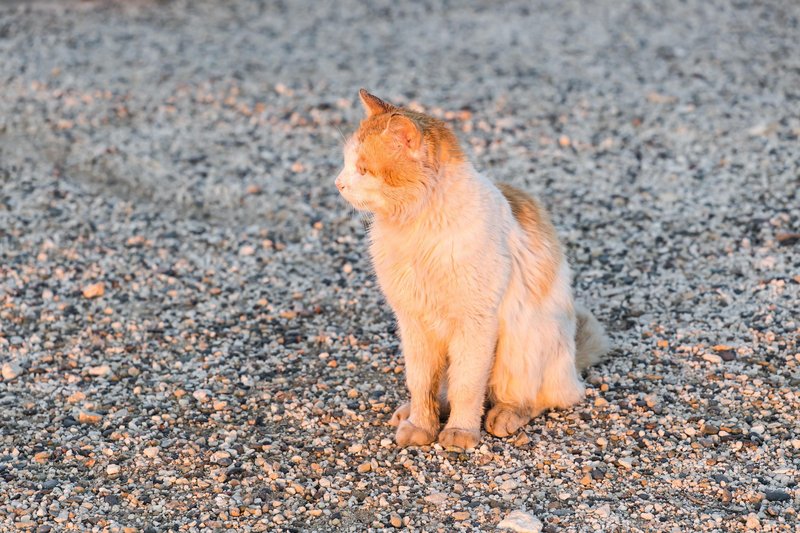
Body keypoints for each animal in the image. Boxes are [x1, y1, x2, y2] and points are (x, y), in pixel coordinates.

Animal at [334, 89, 608, 446]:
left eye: (364, 170)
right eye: (347, 164)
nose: (338, 183)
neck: (417, 229)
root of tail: (573, 363)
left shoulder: (475, 324)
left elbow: (467, 387)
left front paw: (460, 432)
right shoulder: (414, 323)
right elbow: (421, 384)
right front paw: (421, 425)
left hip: (520, 344)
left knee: (541, 397)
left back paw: (504, 416)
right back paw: (410, 413)